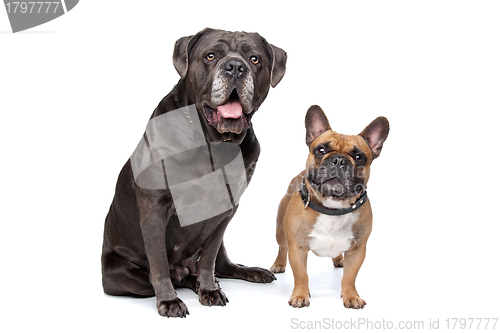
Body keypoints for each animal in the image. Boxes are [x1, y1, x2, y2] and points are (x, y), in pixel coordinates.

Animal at [272, 105, 388, 308]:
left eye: (359, 157)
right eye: (320, 150)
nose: (339, 160)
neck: (333, 208)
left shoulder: (358, 250)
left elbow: (349, 276)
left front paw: (351, 296)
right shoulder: (298, 248)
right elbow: (301, 275)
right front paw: (300, 296)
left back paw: (338, 259)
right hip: (280, 230)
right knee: (282, 247)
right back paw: (278, 264)